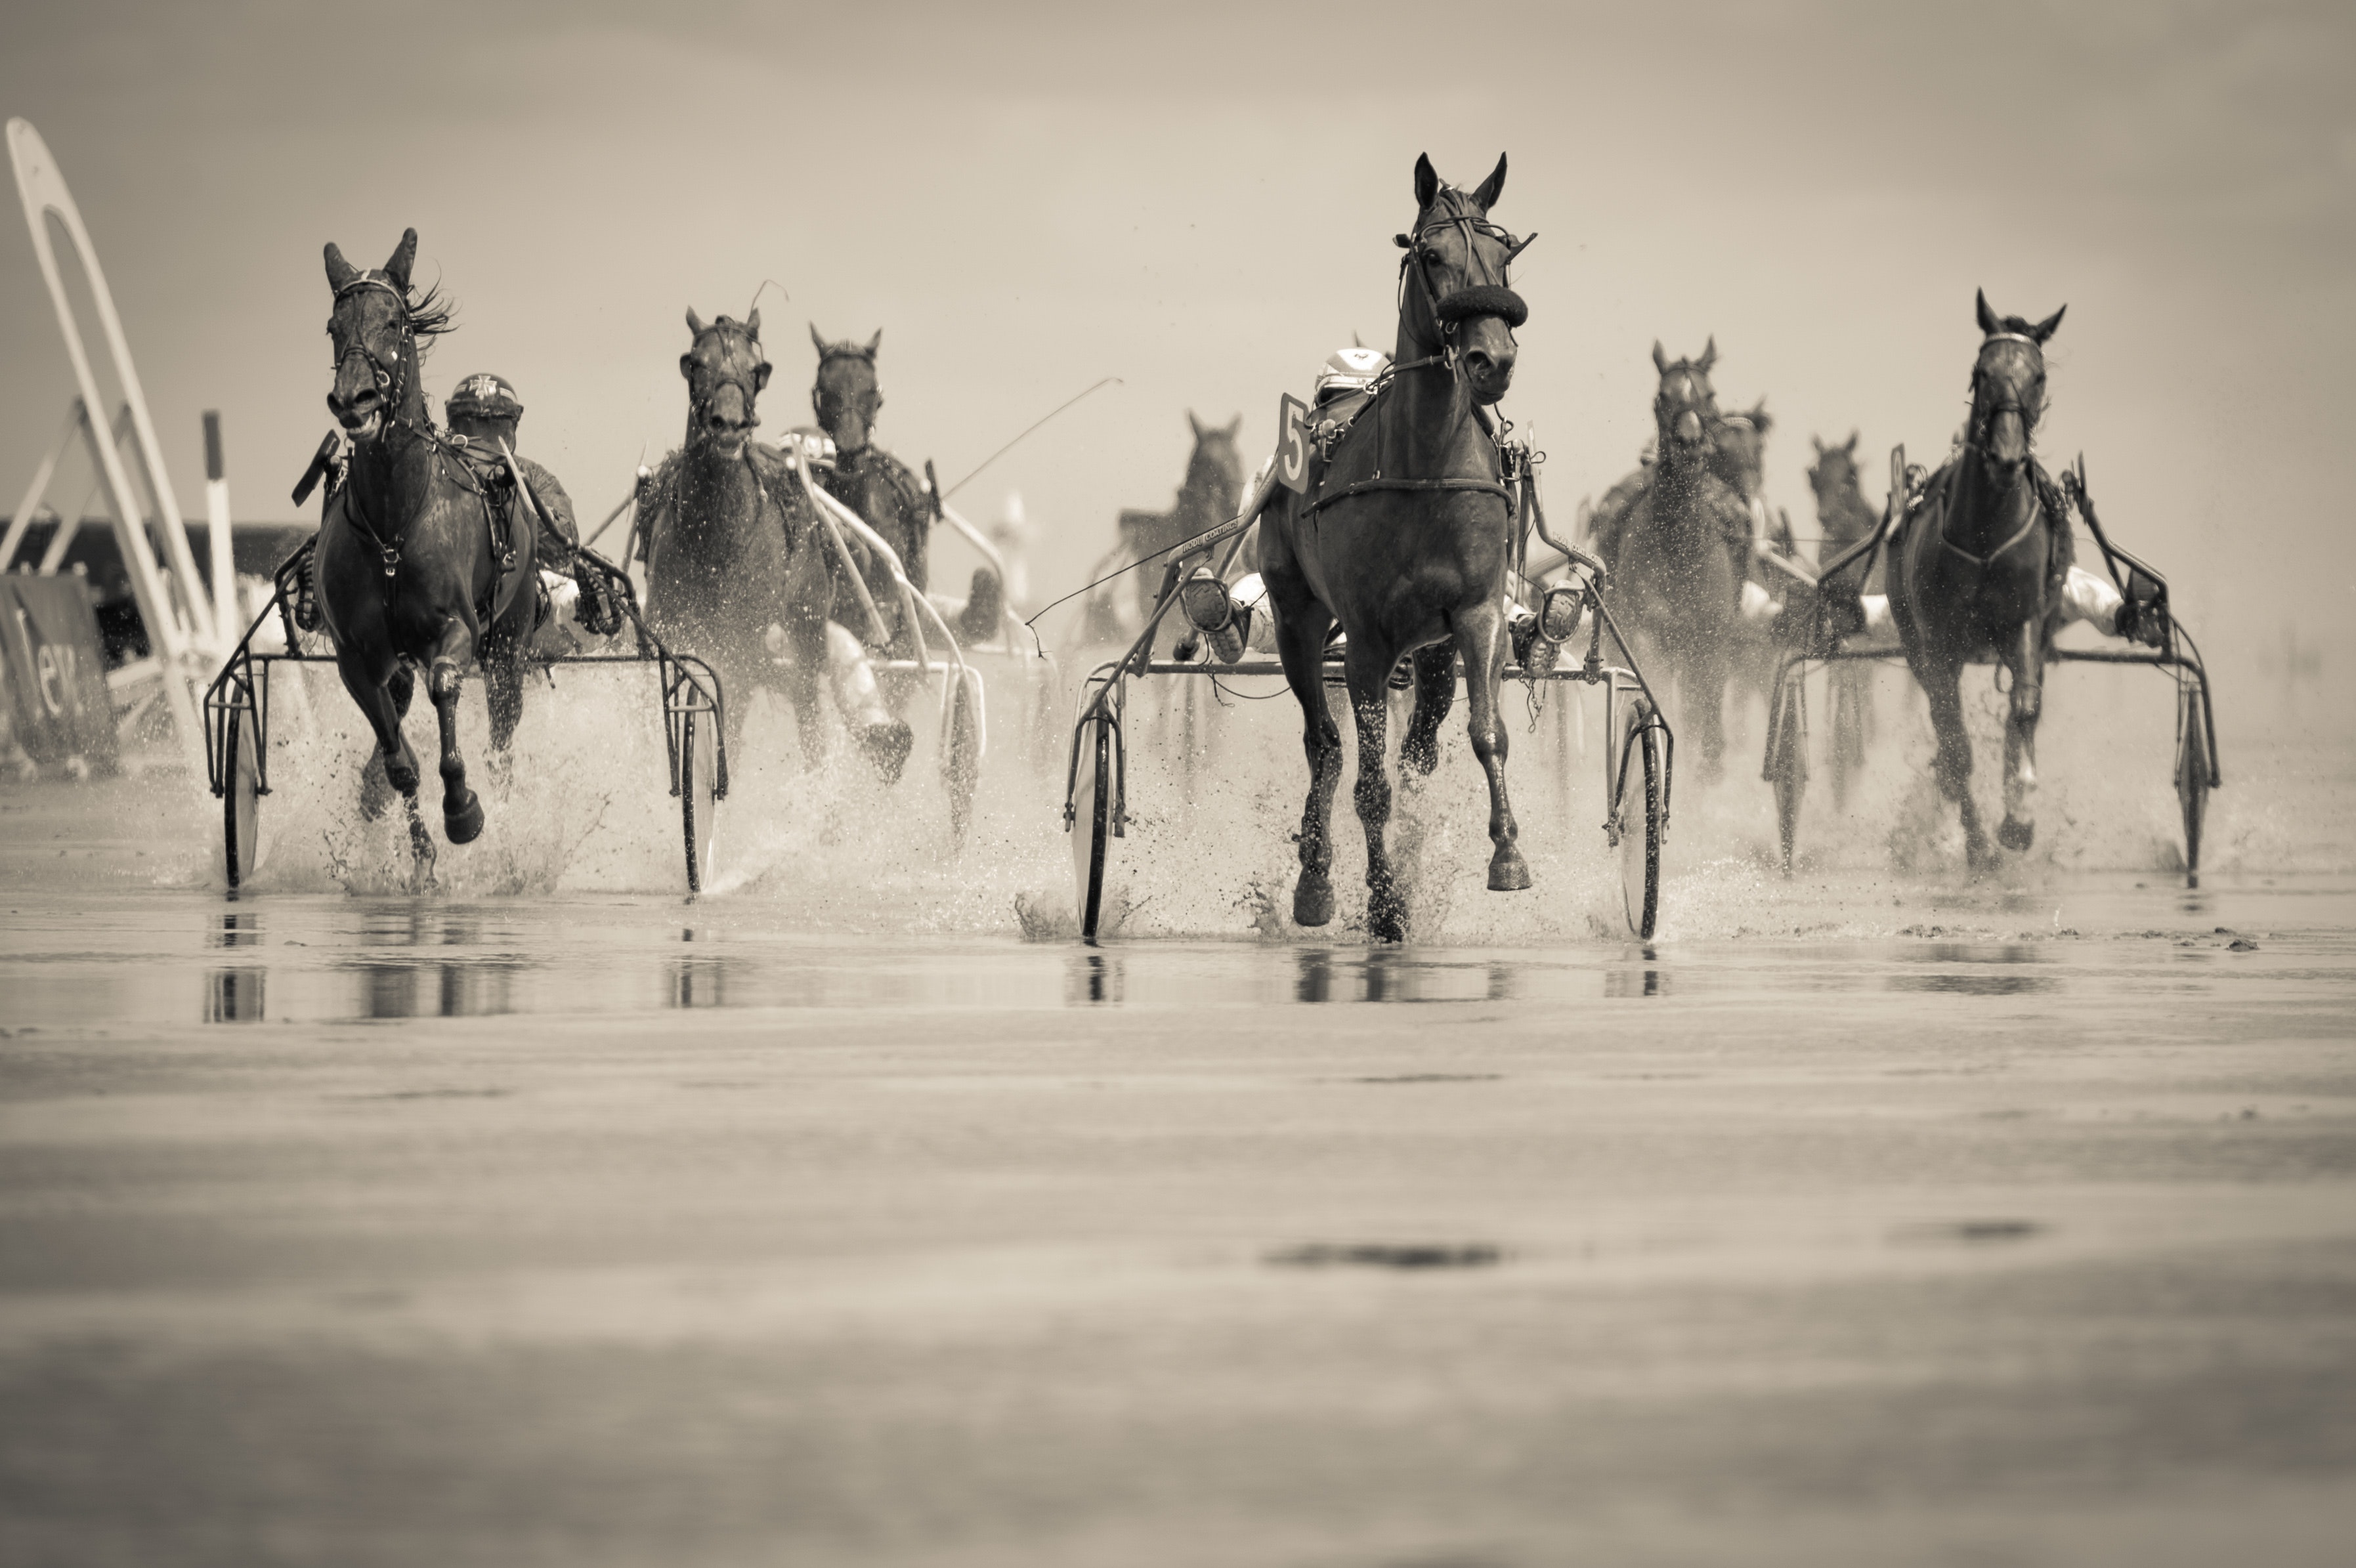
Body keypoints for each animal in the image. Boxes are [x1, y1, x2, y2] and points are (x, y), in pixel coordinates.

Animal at [318, 224, 539, 847]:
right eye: (334, 327)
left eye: (395, 322)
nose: (354, 400)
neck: (393, 526)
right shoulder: (356, 658)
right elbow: (398, 762)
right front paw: (420, 850)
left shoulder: (457, 631)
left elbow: (444, 686)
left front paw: (462, 806)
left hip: (509, 644)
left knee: (501, 736)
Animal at [636, 306, 838, 763]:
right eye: (696, 363)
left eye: (755, 370)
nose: (729, 424)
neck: (715, 541)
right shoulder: (669, 627)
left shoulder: (740, 647)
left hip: (807, 623)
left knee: (808, 707)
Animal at [1262, 153, 1536, 941]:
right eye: (1431, 254)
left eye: (1505, 257)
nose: (1491, 358)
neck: (1424, 466)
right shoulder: (1365, 642)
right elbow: (1368, 782)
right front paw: (1384, 902)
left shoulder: (1475, 615)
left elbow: (1486, 733)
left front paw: (1507, 855)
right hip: (1295, 618)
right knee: (1324, 747)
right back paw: (1316, 879)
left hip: (1433, 650)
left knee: (1420, 746)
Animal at [1611, 346, 1762, 776]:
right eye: (1663, 397)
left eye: (1709, 396)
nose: (1690, 443)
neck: (1680, 547)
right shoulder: (1646, 638)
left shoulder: (1709, 643)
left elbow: (1706, 723)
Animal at [1885, 289, 2073, 866]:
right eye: (1981, 371)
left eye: (2038, 375)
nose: (2007, 455)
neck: (1987, 535)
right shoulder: (1939, 642)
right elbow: (1956, 744)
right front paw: (1978, 842)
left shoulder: (2024, 622)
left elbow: (2025, 710)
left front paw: (2019, 817)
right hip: (1914, 642)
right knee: (1944, 726)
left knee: (2021, 708)